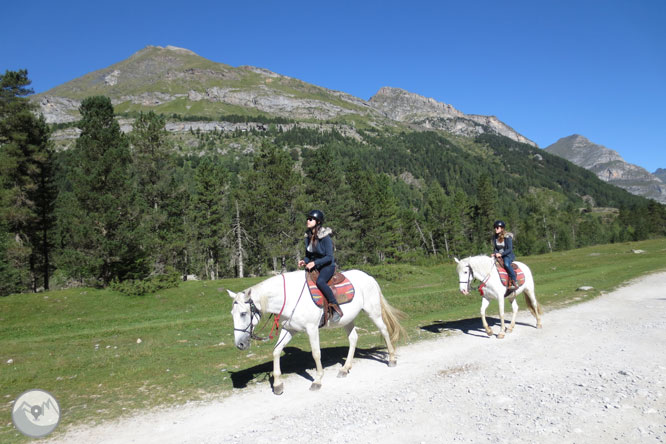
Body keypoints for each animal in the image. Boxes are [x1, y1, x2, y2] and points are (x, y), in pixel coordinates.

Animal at [228, 268, 402, 394]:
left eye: (243, 313)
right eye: (232, 314)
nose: (240, 344)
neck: (289, 297)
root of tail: (369, 277)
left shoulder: (311, 329)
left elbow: (316, 353)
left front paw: (317, 381)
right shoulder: (289, 329)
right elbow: (276, 351)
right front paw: (277, 384)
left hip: (373, 312)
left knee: (384, 331)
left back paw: (392, 359)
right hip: (347, 320)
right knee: (353, 338)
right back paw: (345, 369)